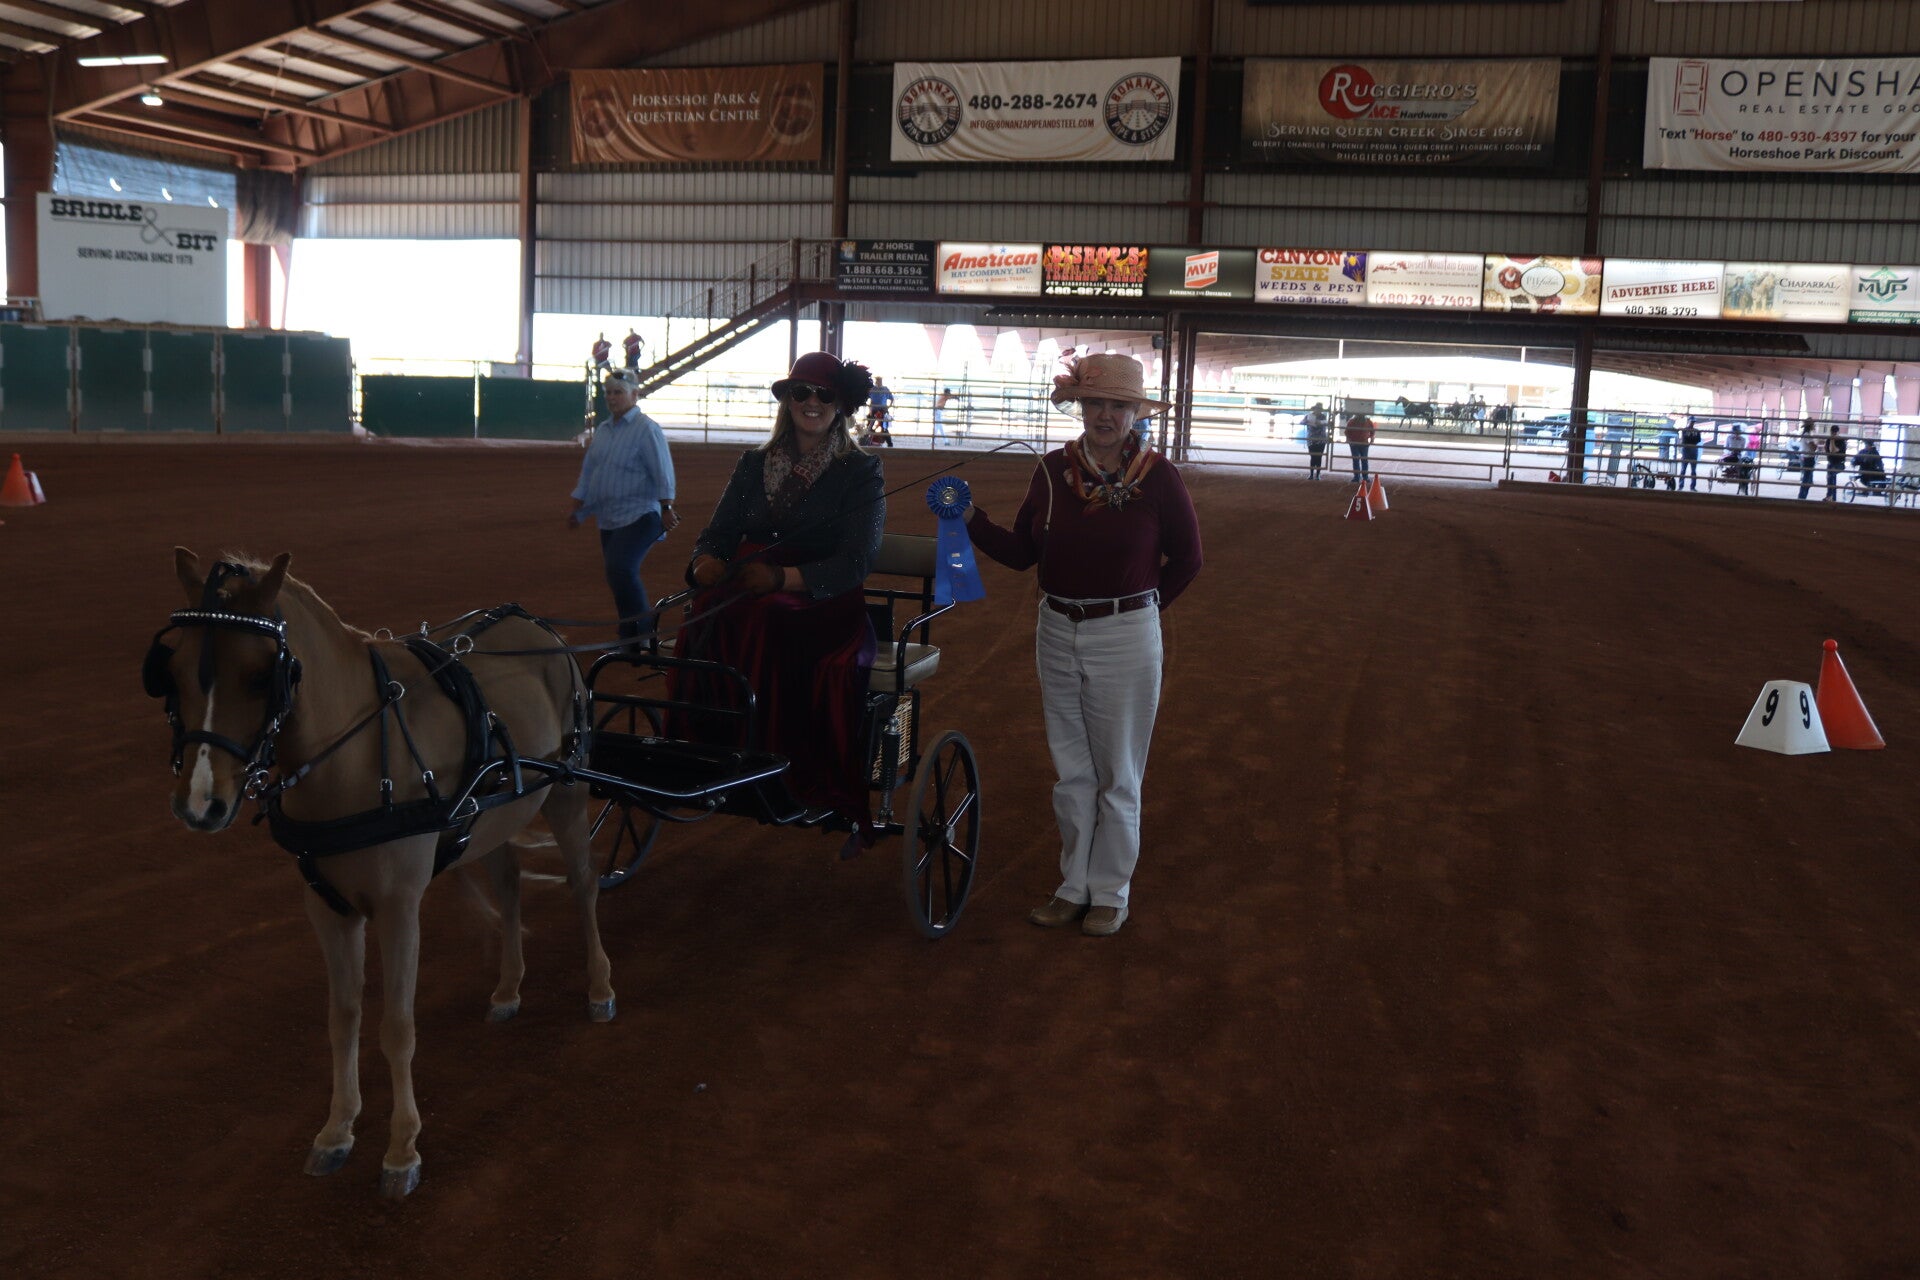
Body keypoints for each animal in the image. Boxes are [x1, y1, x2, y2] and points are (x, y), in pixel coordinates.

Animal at [145, 548, 614, 1200]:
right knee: (511, 886)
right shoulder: (328, 908)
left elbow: (397, 1026)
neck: (356, 759)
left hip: (567, 793)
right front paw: (337, 1130)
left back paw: (599, 987)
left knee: (584, 885)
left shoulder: (398, 910)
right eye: (175, 671)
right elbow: (343, 1018)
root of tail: (537, 626)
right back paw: (508, 988)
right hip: (490, 820)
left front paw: (401, 1150)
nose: (198, 804)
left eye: (261, 675)